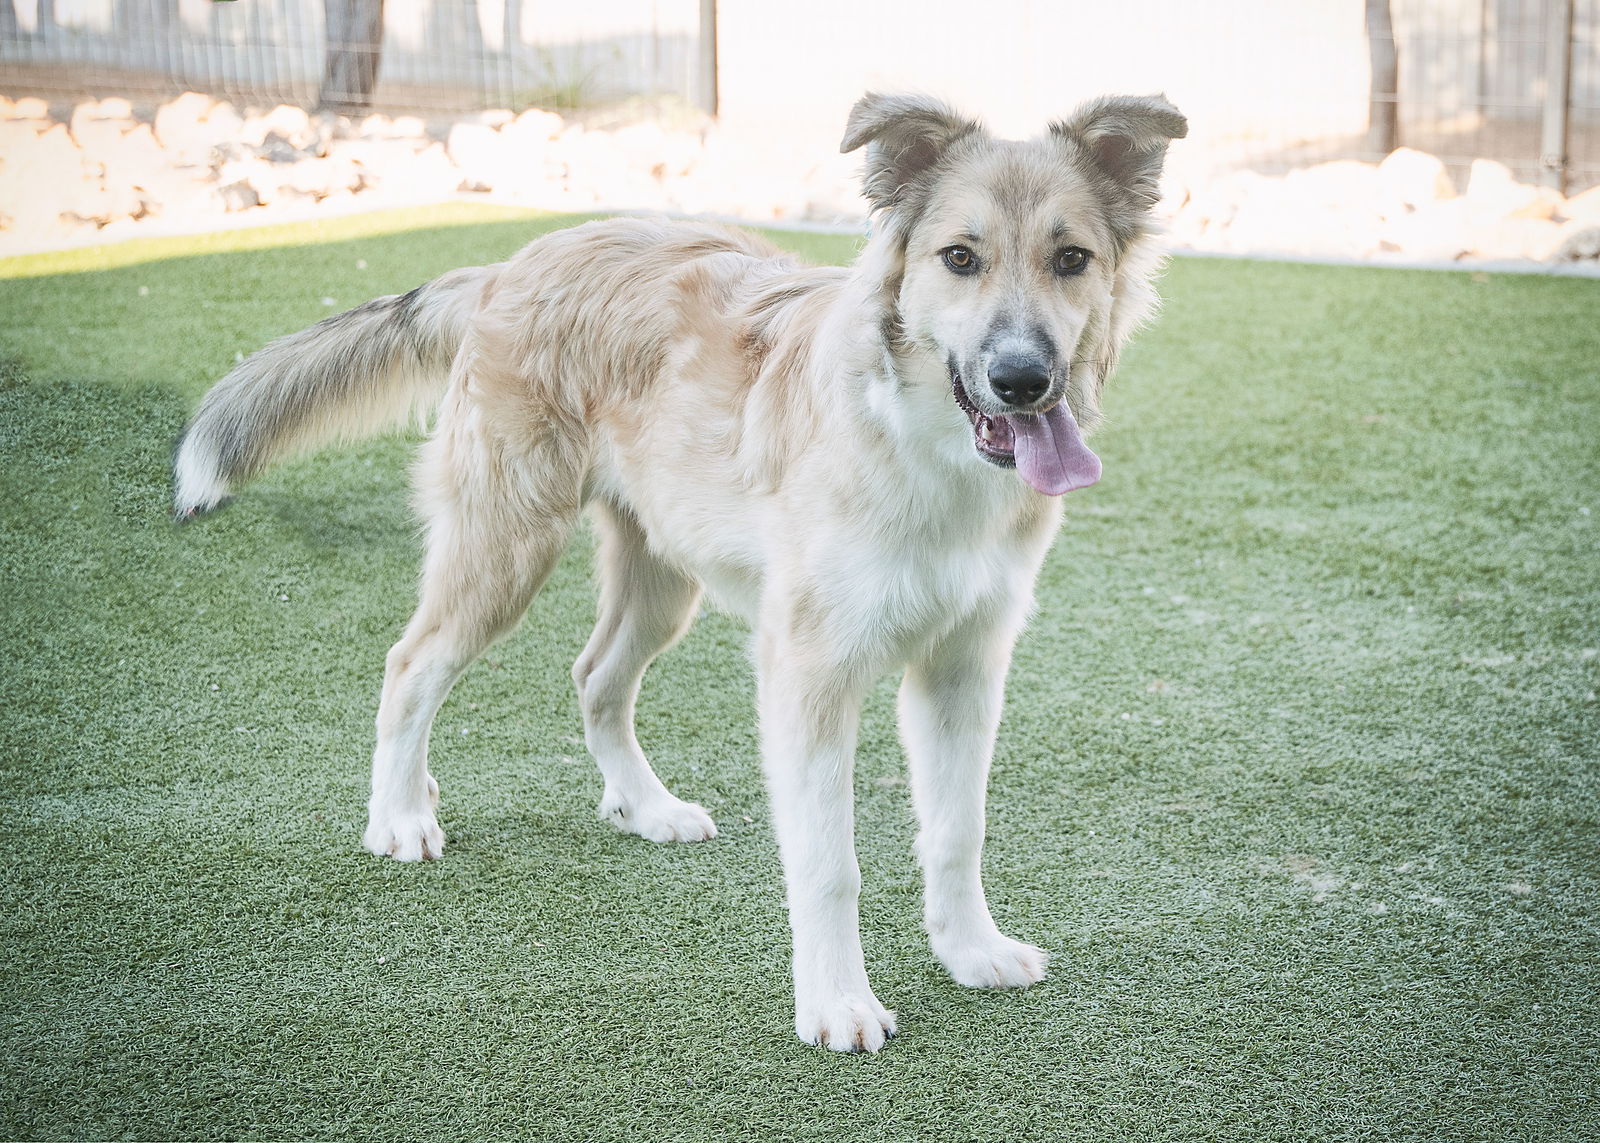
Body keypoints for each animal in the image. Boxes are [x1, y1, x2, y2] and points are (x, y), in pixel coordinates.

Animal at [178, 91, 1190, 1050]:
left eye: (1072, 259)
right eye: (960, 258)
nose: (1023, 380)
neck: (923, 447)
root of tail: (511, 264)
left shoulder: (964, 667)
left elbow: (956, 829)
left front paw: (970, 950)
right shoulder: (809, 674)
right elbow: (830, 863)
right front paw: (837, 1004)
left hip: (663, 579)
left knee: (594, 676)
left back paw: (644, 807)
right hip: (506, 546)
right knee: (411, 663)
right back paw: (397, 815)